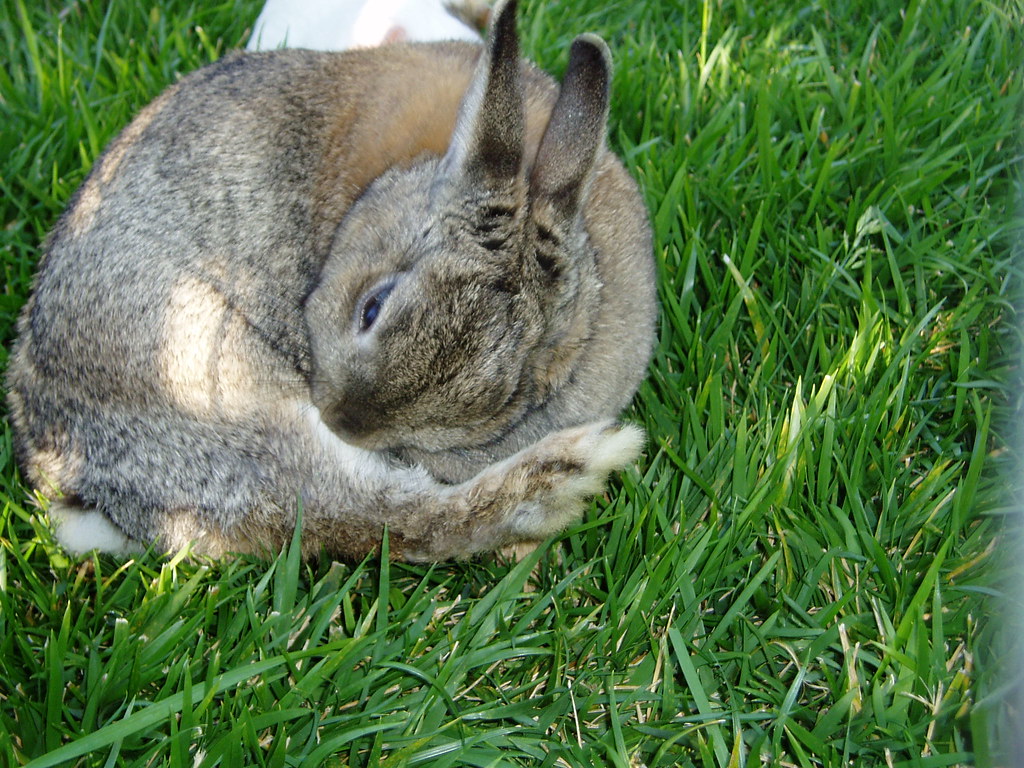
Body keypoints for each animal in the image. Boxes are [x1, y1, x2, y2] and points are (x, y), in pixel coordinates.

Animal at [6, 0, 657, 562]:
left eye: (503, 402)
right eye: (371, 307)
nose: (343, 421)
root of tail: (70, 480)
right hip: (210, 376)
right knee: (371, 516)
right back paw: (579, 468)